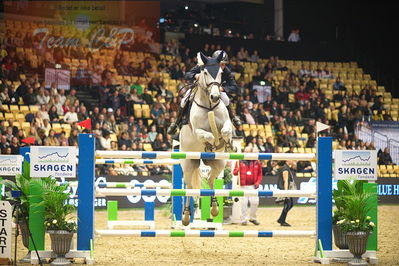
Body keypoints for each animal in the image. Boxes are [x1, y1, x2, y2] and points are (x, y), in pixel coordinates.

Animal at [178, 51, 234, 224]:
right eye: (204, 73)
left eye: (221, 72)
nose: (215, 96)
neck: (209, 105)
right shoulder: (197, 131)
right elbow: (209, 135)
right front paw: (211, 143)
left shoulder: (226, 124)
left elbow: (225, 131)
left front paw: (226, 143)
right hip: (188, 164)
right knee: (189, 187)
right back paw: (186, 216)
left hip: (219, 163)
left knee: (209, 179)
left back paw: (215, 208)